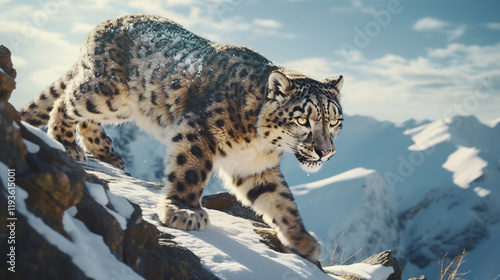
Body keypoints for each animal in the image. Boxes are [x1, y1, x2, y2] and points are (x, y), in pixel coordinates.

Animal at [21, 14, 346, 260]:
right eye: (303, 119)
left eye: (334, 122)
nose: (325, 152)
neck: (260, 144)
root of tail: (103, 23)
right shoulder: (199, 129)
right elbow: (190, 170)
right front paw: (184, 211)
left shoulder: (254, 166)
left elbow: (281, 201)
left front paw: (302, 240)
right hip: (107, 94)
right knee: (67, 100)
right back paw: (66, 143)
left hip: (119, 106)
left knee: (83, 114)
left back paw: (107, 153)